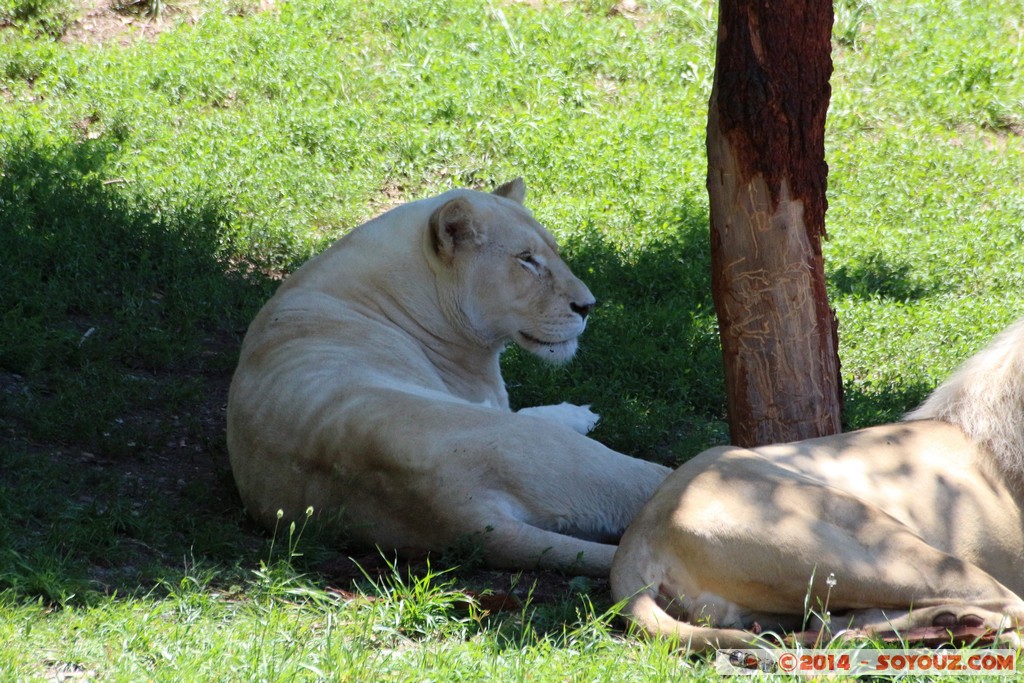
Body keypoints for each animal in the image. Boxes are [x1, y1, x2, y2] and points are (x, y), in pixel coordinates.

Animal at [227, 179, 667, 573]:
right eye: (526, 259)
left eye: (556, 252)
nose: (588, 306)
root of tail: (457, 517)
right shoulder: (490, 399)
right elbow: (529, 411)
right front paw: (580, 413)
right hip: (577, 460)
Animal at [610, 317, 1024, 651]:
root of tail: (639, 538)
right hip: (873, 543)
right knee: (1009, 608)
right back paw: (965, 625)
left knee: (832, 623)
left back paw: (951, 625)